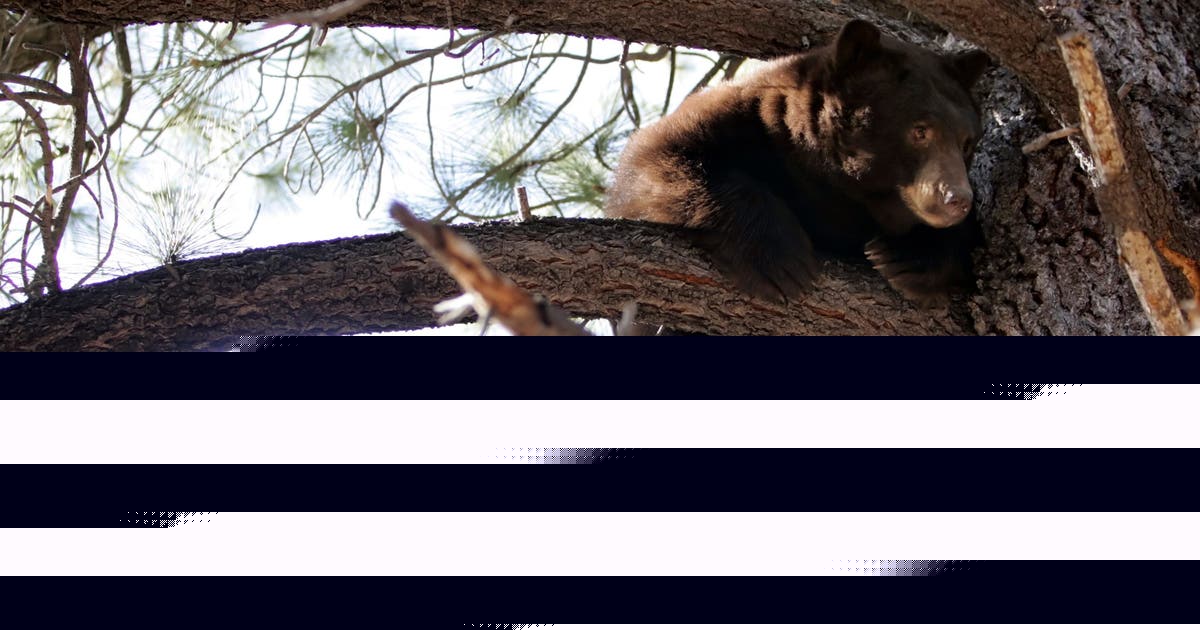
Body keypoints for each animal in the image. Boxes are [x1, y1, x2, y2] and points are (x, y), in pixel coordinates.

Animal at [604, 20, 991, 306]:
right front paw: (782, 260)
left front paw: (906, 257)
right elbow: (651, 161)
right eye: (920, 131)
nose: (956, 199)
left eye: (967, 141)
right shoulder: (743, 119)